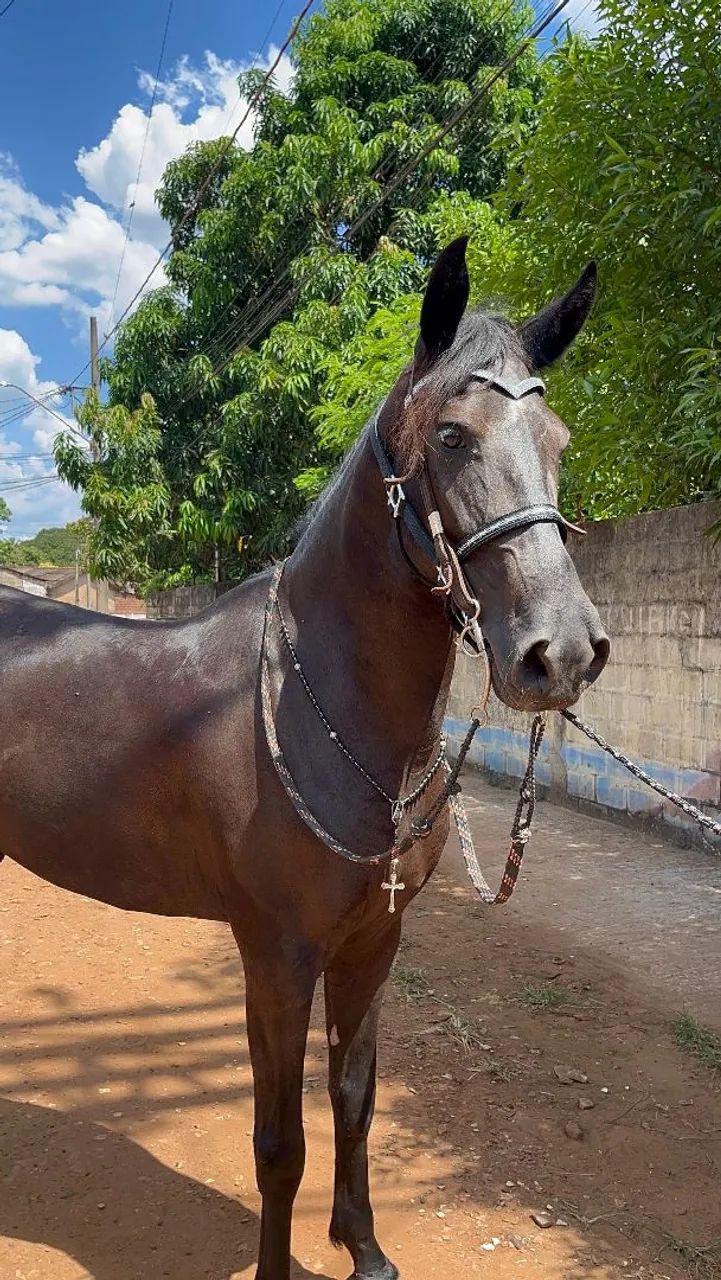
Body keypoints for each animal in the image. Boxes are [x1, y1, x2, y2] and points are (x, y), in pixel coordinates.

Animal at [0, 236, 609, 1280]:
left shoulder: (373, 943)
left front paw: (363, 1248)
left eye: (559, 441)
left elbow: (353, 1102)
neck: (324, 703)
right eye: (453, 436)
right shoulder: (276, 955)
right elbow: (278, 1143)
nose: (560, 653)